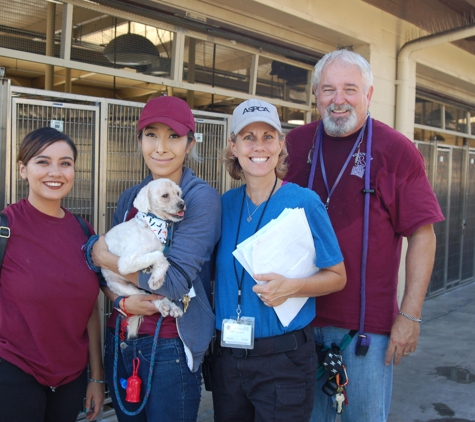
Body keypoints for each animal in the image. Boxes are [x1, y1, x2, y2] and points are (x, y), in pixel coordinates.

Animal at [103, 178, 185, 340]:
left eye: (178, 193)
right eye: (165, 195)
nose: (182, 204)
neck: (152, 227)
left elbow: (163, 259)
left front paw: (155, 273)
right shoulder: (126, 261)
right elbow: (159, 256)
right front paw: (156, 277)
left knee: (159, 295)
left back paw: (173, 307)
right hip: (124, 288)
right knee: (149, 296)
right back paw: (163, 305)